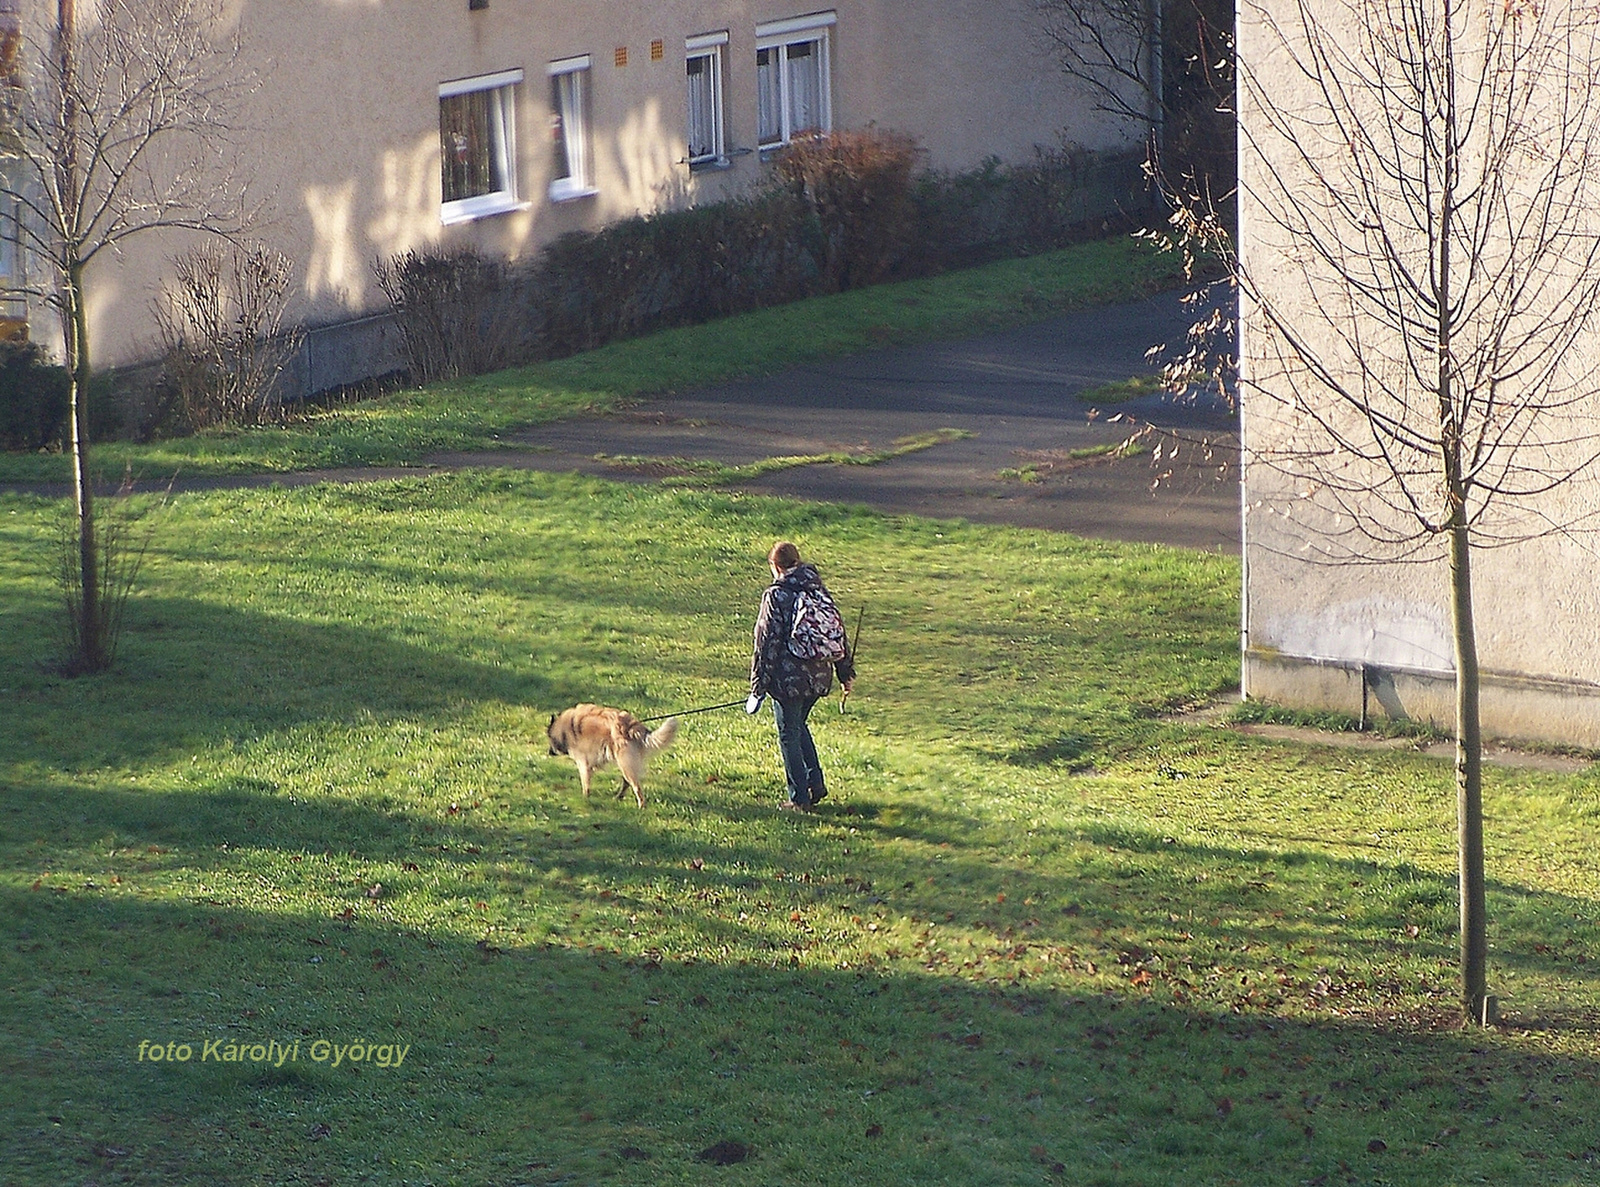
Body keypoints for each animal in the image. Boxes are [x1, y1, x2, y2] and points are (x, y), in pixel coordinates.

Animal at [547, 707, 678, 809]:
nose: (549, 752)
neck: (564, 728)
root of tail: (631, 726)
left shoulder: (583, 762)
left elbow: (585, 784)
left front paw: (585, 799)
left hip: (625, 763)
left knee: (636, 787)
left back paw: (641, 806)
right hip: (627, 764)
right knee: (627, 783)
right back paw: (619, 797)